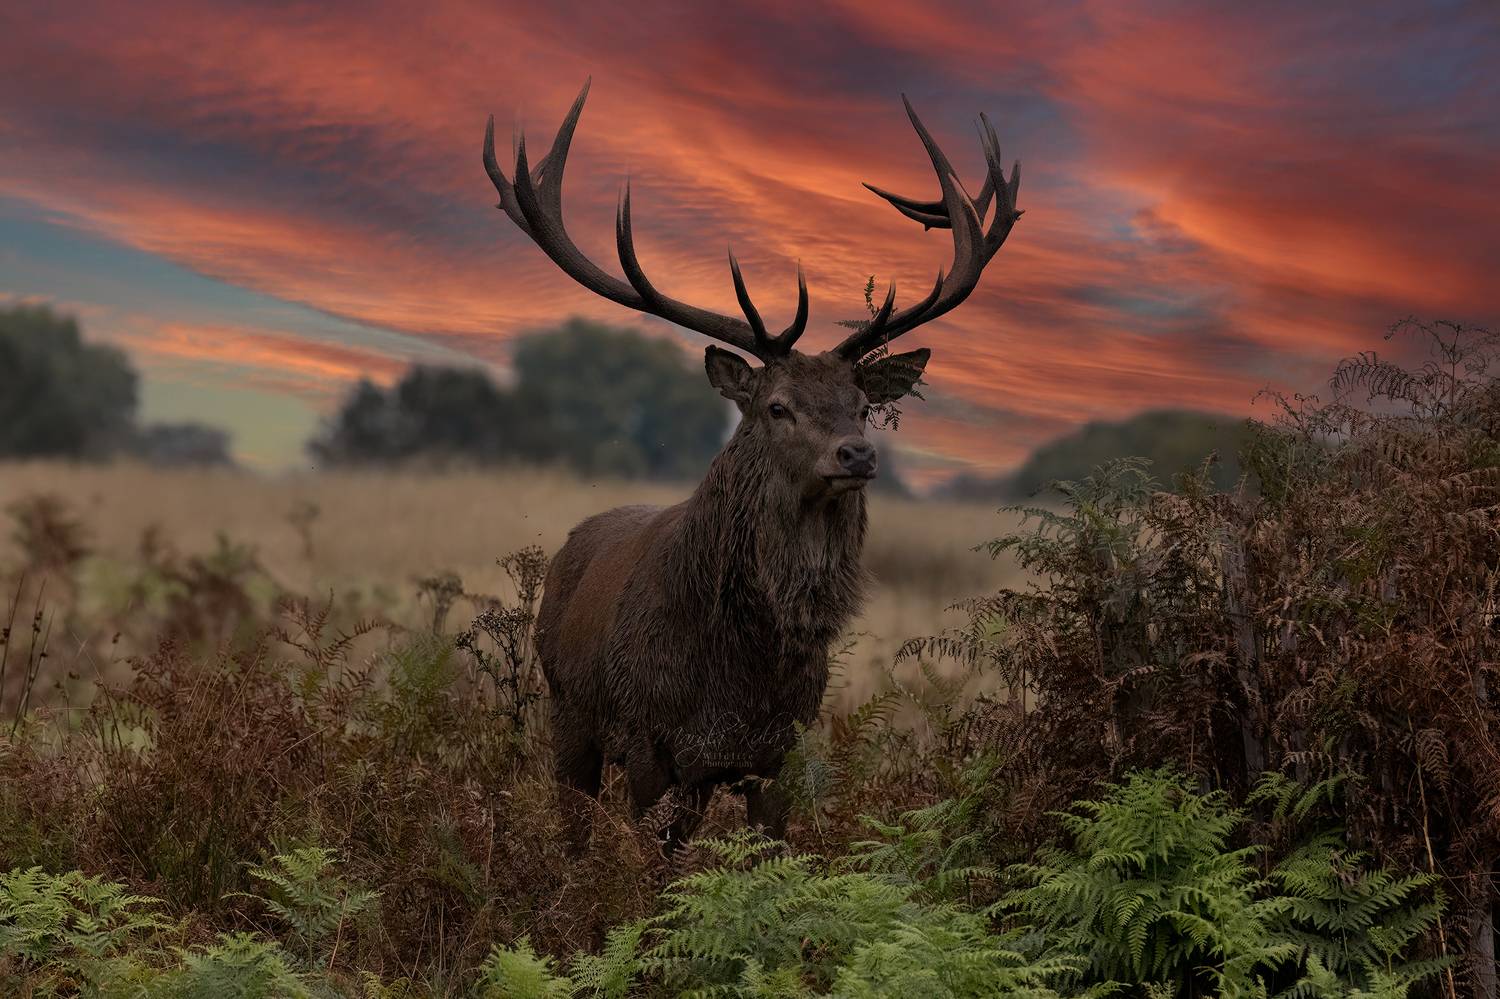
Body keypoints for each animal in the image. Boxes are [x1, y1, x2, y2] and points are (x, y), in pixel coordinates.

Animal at [482, 80, 1021, 851]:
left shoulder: (777, 750)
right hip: (567, 712)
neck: (742, 667)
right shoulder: (649, 740)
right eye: (777, 406)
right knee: (574, 827)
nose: (858, 453)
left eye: (862, 404)